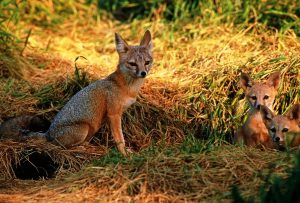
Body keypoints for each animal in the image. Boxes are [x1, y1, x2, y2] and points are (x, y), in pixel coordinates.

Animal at [0, 30, 154, 155]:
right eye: (133, 64)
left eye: (147, 62)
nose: (143, 73)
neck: (127, 87)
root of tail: (49, 133)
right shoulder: (114, 114)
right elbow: (120, 138)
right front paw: (124, 154)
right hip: (83, 128)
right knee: (60, 146)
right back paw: (80, 148)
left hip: (92, 128)